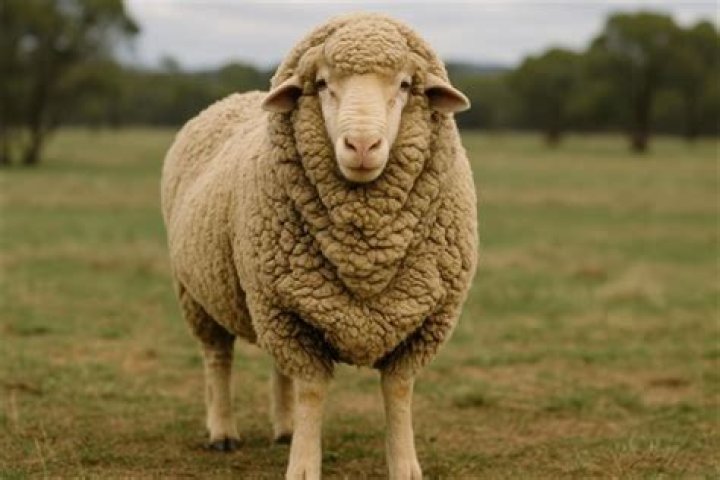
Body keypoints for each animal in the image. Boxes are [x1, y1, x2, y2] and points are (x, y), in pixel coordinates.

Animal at [161, 12, 478, 479]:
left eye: (405, 84)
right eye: (324, 83)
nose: (361, 145)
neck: (366, 250)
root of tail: (238, 96)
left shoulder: (425, 321)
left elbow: (398, 392)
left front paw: (405, 465)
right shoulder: (282, 311)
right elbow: (312, 390)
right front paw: (304, 466)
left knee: (277, 368)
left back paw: (285, 428)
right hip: (200, 295)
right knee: (218, 357)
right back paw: (222, 432)